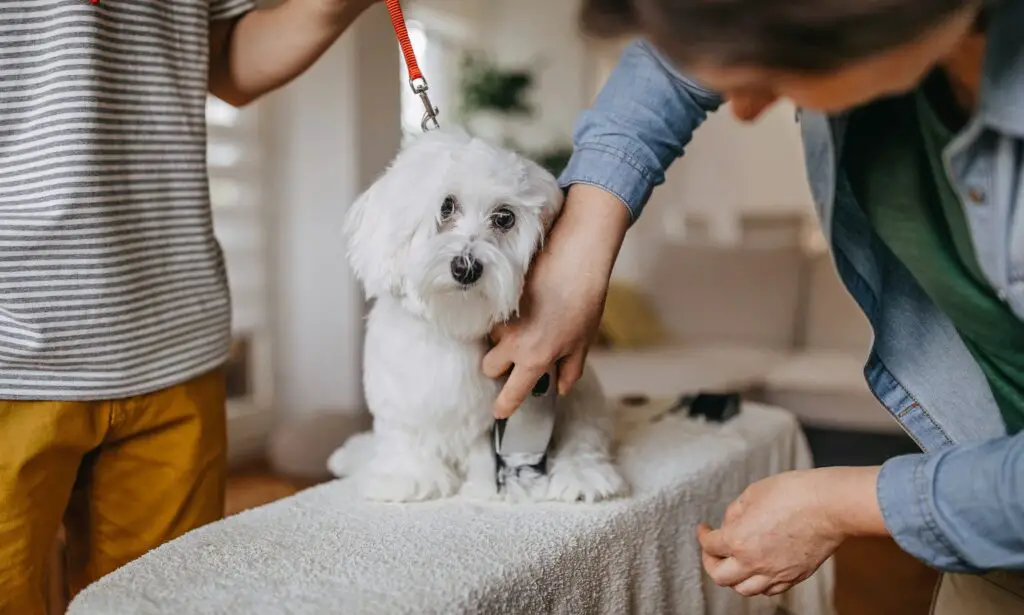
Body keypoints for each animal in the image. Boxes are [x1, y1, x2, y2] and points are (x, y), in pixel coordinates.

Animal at [327, 129, 626, 503]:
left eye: (504, 218)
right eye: (446, 207)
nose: (466, 267)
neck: (453, 323)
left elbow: (484, 449)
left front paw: (487, 486)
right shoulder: (399, 395)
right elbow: (405, 434)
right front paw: (408, 476)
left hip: (578, 395)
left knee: (584, 435)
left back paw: (581, 474)